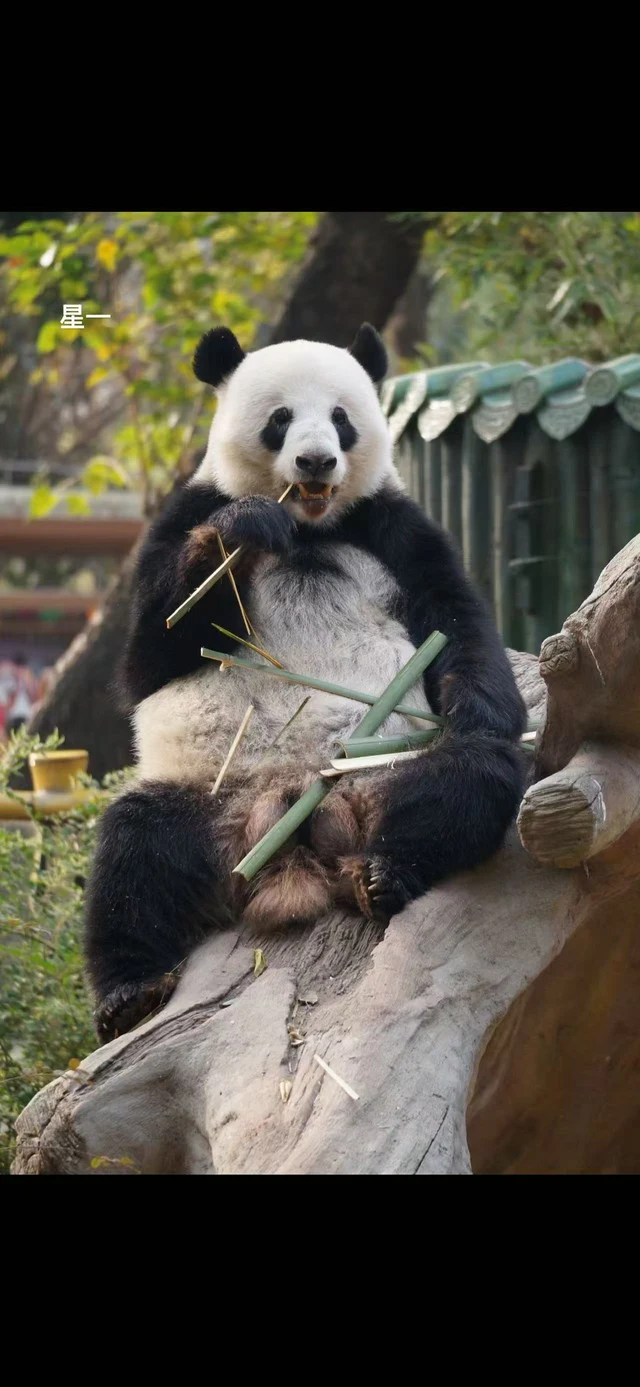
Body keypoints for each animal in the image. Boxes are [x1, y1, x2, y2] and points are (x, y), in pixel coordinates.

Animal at [85, 322, 527, 1043]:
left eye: (342, 419)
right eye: (281, 419)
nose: (316, 462)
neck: (312, 526)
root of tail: (298, 822)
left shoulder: (393, 525)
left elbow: (457, 621)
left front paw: (478, 707)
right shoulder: (186, 512)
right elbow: (147, 658)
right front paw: (244, 532)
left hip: (377, 773)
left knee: (469, 781)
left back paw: (383, 873)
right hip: (211, 802)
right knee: (134, 853)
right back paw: (130, 994)